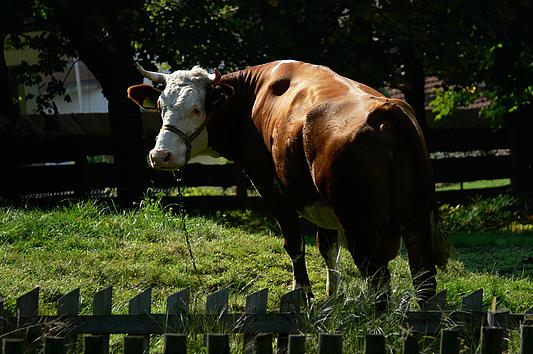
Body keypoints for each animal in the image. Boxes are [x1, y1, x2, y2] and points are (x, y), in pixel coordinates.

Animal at [129, 59, 448, 306]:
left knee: (379, 283)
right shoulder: (319, 203)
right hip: (415, 222)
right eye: (160, 106)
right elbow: (327, 247)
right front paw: (333, 298)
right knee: (423, 280)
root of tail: (387, 110)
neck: (251, 99)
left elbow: (294, 243)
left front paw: (303, 294)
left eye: (197, 108)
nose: (161, 155)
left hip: (361, 227)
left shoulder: (272, 191)